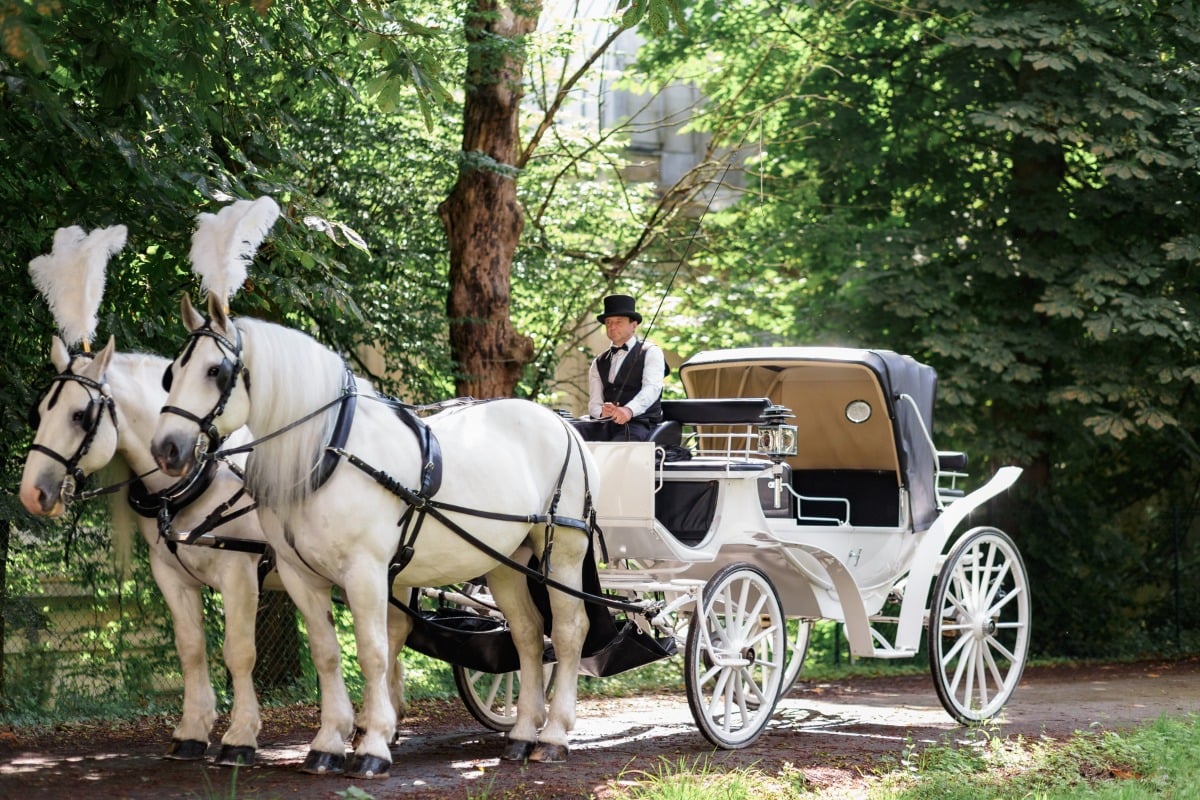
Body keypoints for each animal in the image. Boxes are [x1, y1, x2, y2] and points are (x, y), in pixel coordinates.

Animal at [19, 335, 267, 767]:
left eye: (79, 415)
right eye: (41, 410)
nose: (32, 493)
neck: (201, 476)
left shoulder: (240, 573)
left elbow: (238, 652)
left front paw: (240, 736)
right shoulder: (171, 576)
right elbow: (190, 648)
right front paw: (191, 731)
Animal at [151, 292, 600, 777]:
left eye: (215, 370)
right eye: (170, 373)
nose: (166, 448)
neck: (327, 453)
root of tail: (563, 424)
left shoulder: (364, 571)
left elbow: (374, 652)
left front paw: (373, 745)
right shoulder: (299, 575)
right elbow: (327, 654)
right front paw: (328, 742)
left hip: (563, 552)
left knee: (569, 631)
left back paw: (553, 735)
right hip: (504, 561)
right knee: (528, 635)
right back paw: (521, 734)